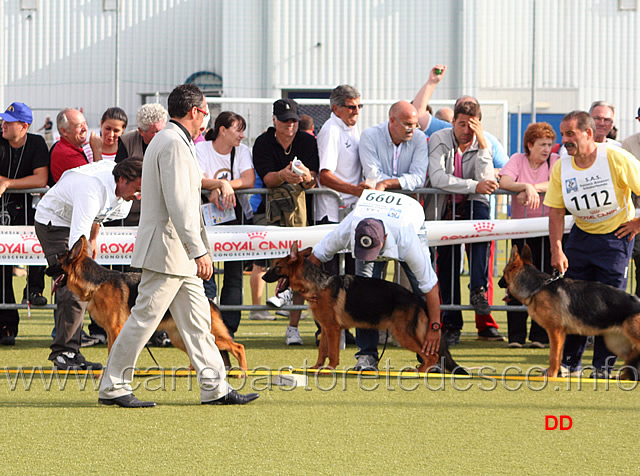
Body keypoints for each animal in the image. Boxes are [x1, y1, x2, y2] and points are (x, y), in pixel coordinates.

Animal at [45, 236, 249, 374]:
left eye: (56, 261)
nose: (46, 270)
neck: (97, 283)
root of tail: (209, 301)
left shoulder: (116, 329)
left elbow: (112, 353)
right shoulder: (111, 332)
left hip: (209, 334)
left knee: (238, 347)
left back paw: (243, 373)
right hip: (180, 337)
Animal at [262, 244, 468, 374]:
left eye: (277, 267)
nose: (263, 277)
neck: (318, 284)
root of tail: (417, 298)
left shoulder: (334, 329)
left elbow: (333, 353)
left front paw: (329, 368)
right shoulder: (326, 329)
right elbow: (322, 350)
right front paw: (316, 367)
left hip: (402, 334)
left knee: (432, 355)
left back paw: (422, 371)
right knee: (430, 355)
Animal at [500, 245, 640, 380]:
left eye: (503, 273)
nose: (498, 282)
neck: (538, 287)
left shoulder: (555, 331)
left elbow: (554, 356)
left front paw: (551, 375)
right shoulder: (560, 334)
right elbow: (559, 356)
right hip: (615, 344)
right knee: (631, 359)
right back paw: (623, 376)